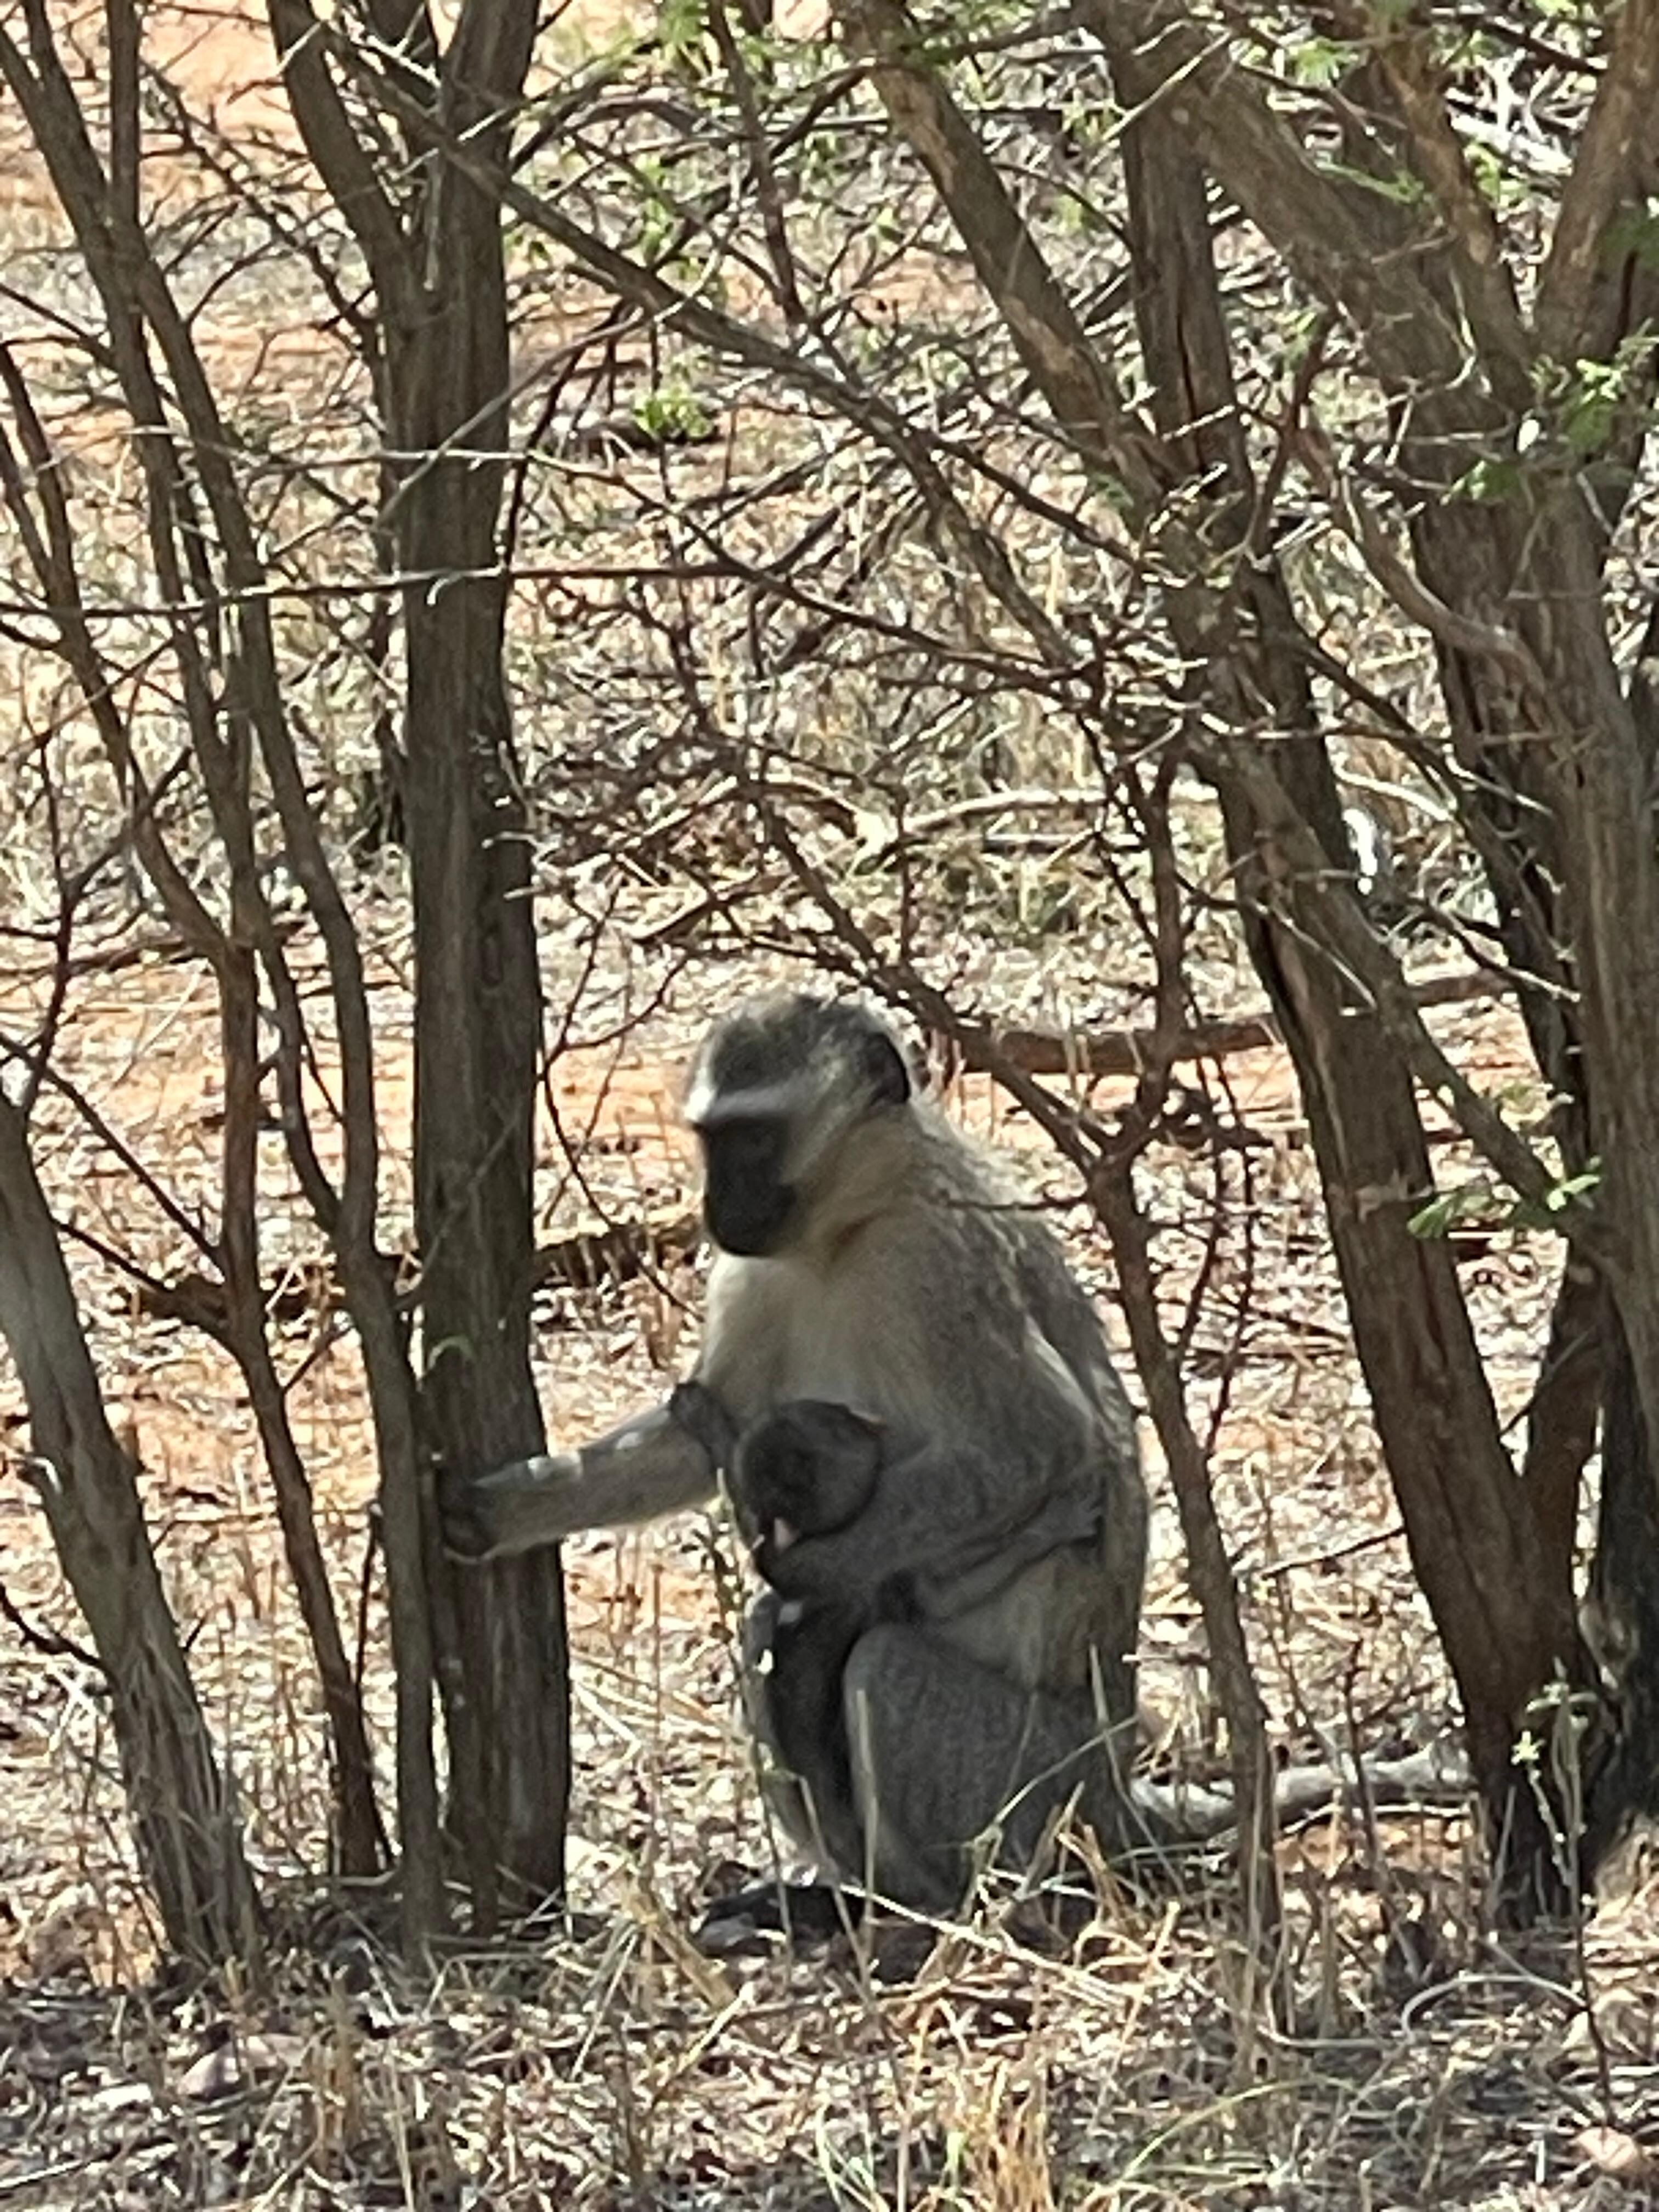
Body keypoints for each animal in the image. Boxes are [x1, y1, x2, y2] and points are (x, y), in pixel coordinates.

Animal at [441, 991, 1154, 1914]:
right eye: (711, 1140)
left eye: (753, 1141)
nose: (717, 1201)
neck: (847, 1230)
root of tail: (1117, 1789)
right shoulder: (754, 1271)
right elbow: (699, 1440)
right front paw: (504, 1510)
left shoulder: (939, 1262)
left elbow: (1044, 1452)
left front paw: (806, 1568)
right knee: (766, 1633)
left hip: (1040, 1787)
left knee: (883, 1663)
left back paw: (914, 1905)